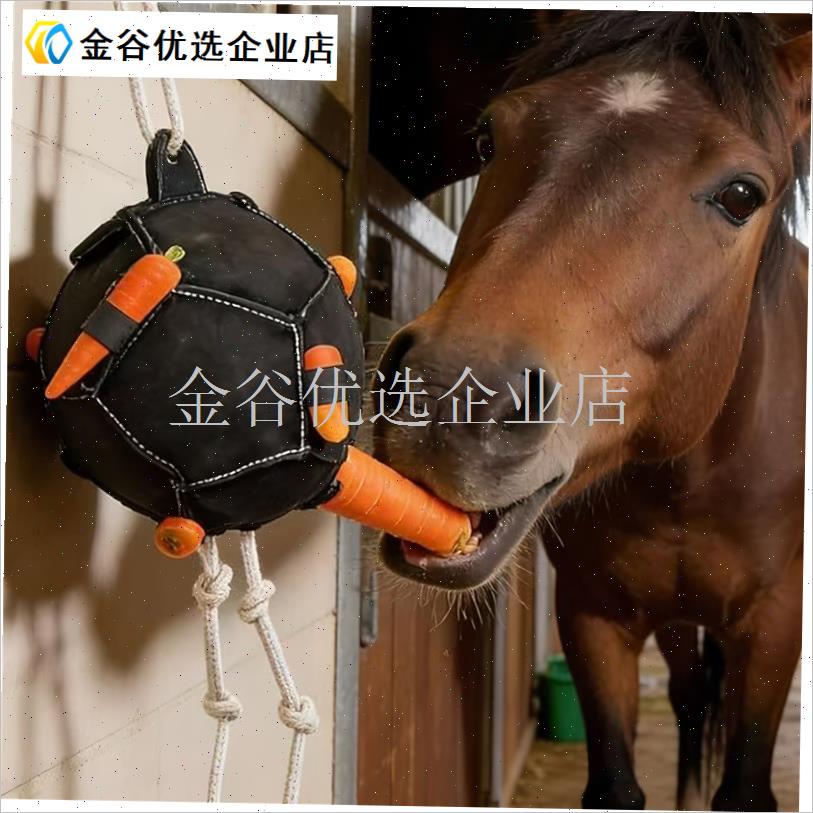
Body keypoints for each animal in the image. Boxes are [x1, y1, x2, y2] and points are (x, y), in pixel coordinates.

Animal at [372, 13, 810, 811]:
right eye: (488, 137)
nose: (448, 399)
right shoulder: (591, 617)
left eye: (742, 195)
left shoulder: (775, 625)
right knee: (690, 697)